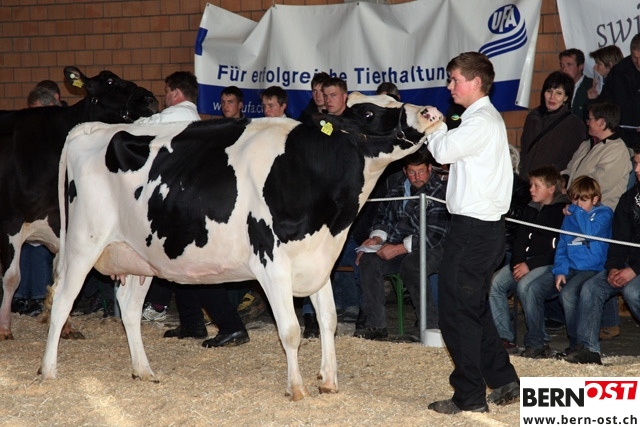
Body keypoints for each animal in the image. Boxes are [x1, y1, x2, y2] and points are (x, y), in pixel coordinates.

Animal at [0, 66, 158, 340]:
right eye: (110, 81)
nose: (150, 99)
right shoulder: (11, 222)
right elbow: (11, 278)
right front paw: (5, 329)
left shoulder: (63, 226)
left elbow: (61, 275)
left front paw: (67, 327)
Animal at [40, 93, 444, 400]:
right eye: (369, 112)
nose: (431, 111)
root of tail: (94, 128)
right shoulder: (272, 263)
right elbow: (291, 330)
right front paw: (297, 389)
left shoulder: (319, 261)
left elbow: (328, 321)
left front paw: (329, 382)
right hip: (83, 243)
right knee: (61, 301)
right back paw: (48, 370)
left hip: (139, 255)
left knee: (127, 308)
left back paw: (144, 370)